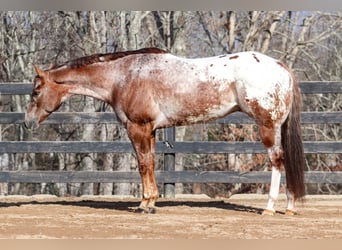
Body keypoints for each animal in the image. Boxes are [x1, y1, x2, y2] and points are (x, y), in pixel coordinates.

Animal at [25, 47, 306, 216]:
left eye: (36, 92)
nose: (27, 122)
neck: (123, 76)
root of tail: (280, 66)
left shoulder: (137, 128)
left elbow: (143, 165)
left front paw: (144, 204)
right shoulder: (150, 131)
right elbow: (150, 163)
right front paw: (151, 202)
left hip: (267, 127)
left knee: (277, 161)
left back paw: (270, 208)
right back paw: (290, 207)